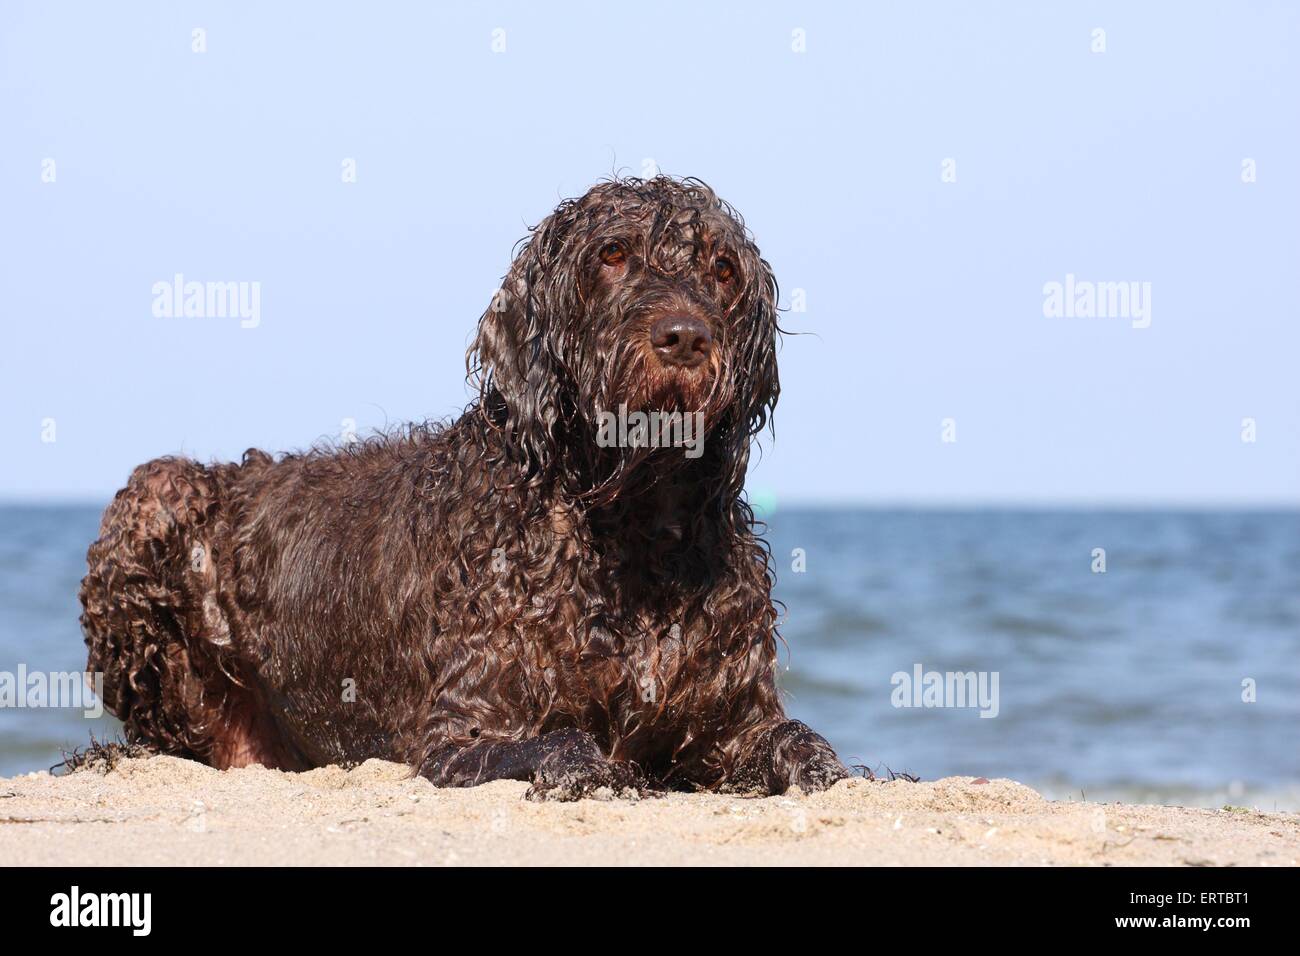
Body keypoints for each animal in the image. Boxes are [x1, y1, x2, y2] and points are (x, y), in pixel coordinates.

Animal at [83, 178, 852, 801]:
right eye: (611, 255)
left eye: (723, 268)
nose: (685, 337)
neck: (634, 527)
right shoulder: (459, 735)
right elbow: (565, 740)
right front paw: (596, 768)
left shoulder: (729, 722)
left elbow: (799, 740)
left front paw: (821, 764)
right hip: (156, 490)